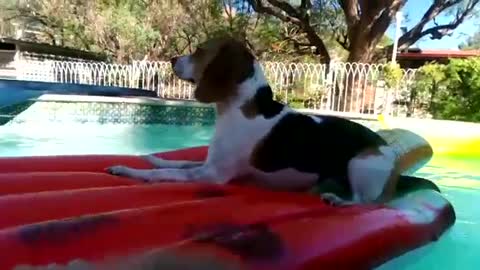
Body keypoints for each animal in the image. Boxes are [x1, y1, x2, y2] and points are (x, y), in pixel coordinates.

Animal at [107, 35, 400, 205]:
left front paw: (128, 170)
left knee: (365, 203)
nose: (172, 59)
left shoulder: (211, 174)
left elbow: (163, 174)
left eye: (200, 50)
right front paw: (153, 158)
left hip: (361, 163)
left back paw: (337, 200)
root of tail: (391, 151)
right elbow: (177, 163)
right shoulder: (209, 163)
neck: (235, 106)